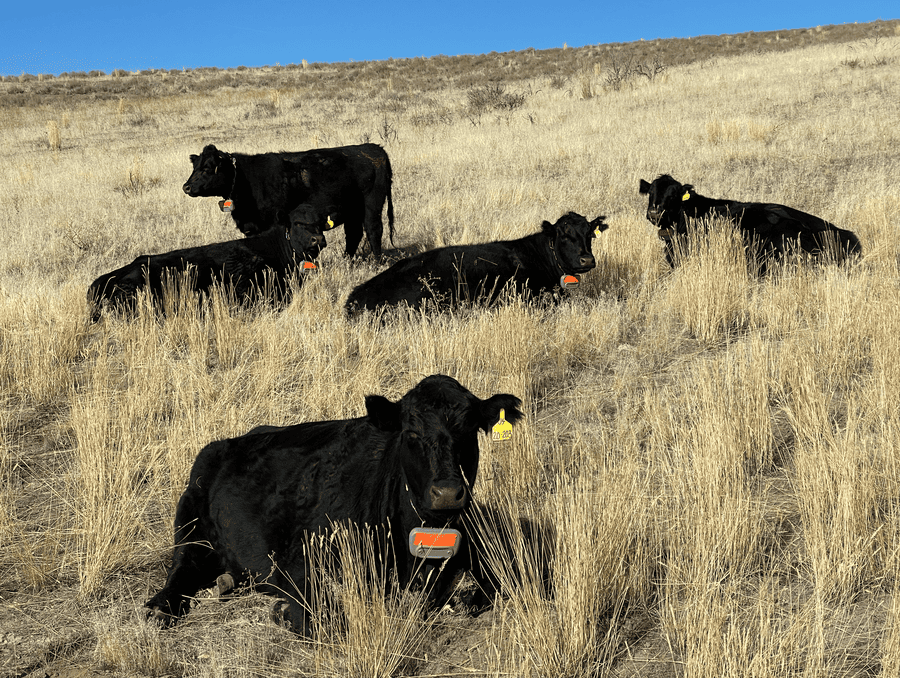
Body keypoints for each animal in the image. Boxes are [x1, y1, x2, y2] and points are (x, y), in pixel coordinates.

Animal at [144, 374, 524, 635]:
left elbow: (497, 585)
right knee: (182, 566)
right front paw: (284, 611)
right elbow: (321, 617)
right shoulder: (299, 560)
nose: (446, 492)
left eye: (470, 430)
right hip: (191, 519)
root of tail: (230, 441)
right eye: (411, 433)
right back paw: (161, 607)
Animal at [182, 143, 395, 257]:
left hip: (372, 205)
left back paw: (377, 260)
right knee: (354, 234)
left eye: (207, 168)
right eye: (195, 167)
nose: (186, 187)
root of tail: (374, 149)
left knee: (374, 231)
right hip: (352, 210)